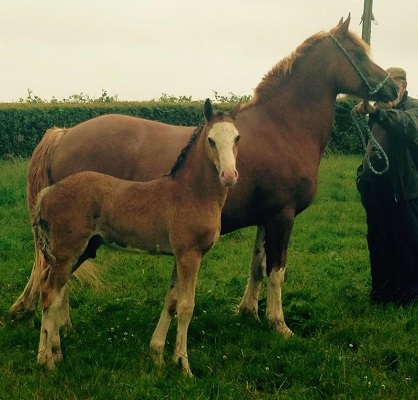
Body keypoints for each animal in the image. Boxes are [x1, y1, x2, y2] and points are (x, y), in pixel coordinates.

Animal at [9, 15, 396, 338]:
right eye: (358, 54)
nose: (393, 89)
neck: (281, 126)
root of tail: (64, 135)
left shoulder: (264, 217)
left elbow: (257, 267)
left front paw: (248, 312)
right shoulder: (282, 217)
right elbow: (277, 271)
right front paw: (279, 324)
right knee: (56, 280)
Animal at [32, 100, 238, 376]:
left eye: (237, 138)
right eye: (211, 140)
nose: (229, 175)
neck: (191, 193)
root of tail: (48, 192)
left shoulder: (179, 256)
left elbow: (171, 301)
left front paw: (159, 356)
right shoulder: (190, 255)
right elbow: (186, 306)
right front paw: (184, 366)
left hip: (70, 253)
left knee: (53, 290)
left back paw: (55, 352)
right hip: (68, 252)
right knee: (50, 293)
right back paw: (47, 361)